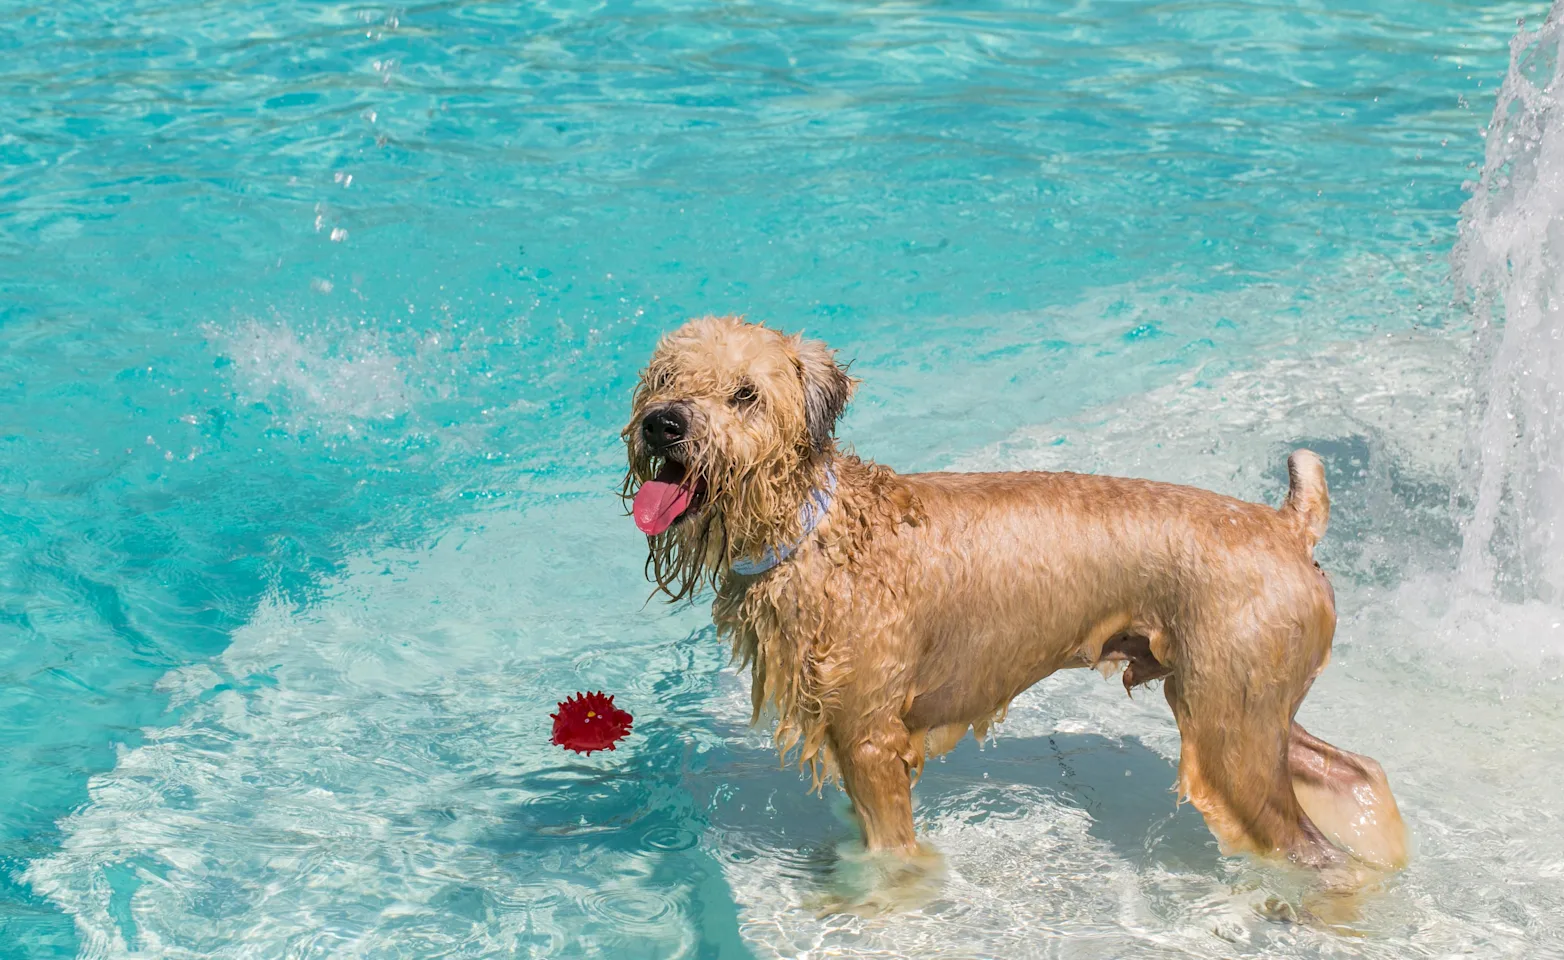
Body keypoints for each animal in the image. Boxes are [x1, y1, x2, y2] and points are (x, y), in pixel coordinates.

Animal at [616, 320, 1413, 894]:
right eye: (665, 379)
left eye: (745, 394)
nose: (664, 424)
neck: (817, 526)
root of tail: (1288, 524)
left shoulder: (871, 741)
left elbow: (892, 860)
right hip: (1248, 709)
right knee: (1354, 772)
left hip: (1229, 735)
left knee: (1311, 847)